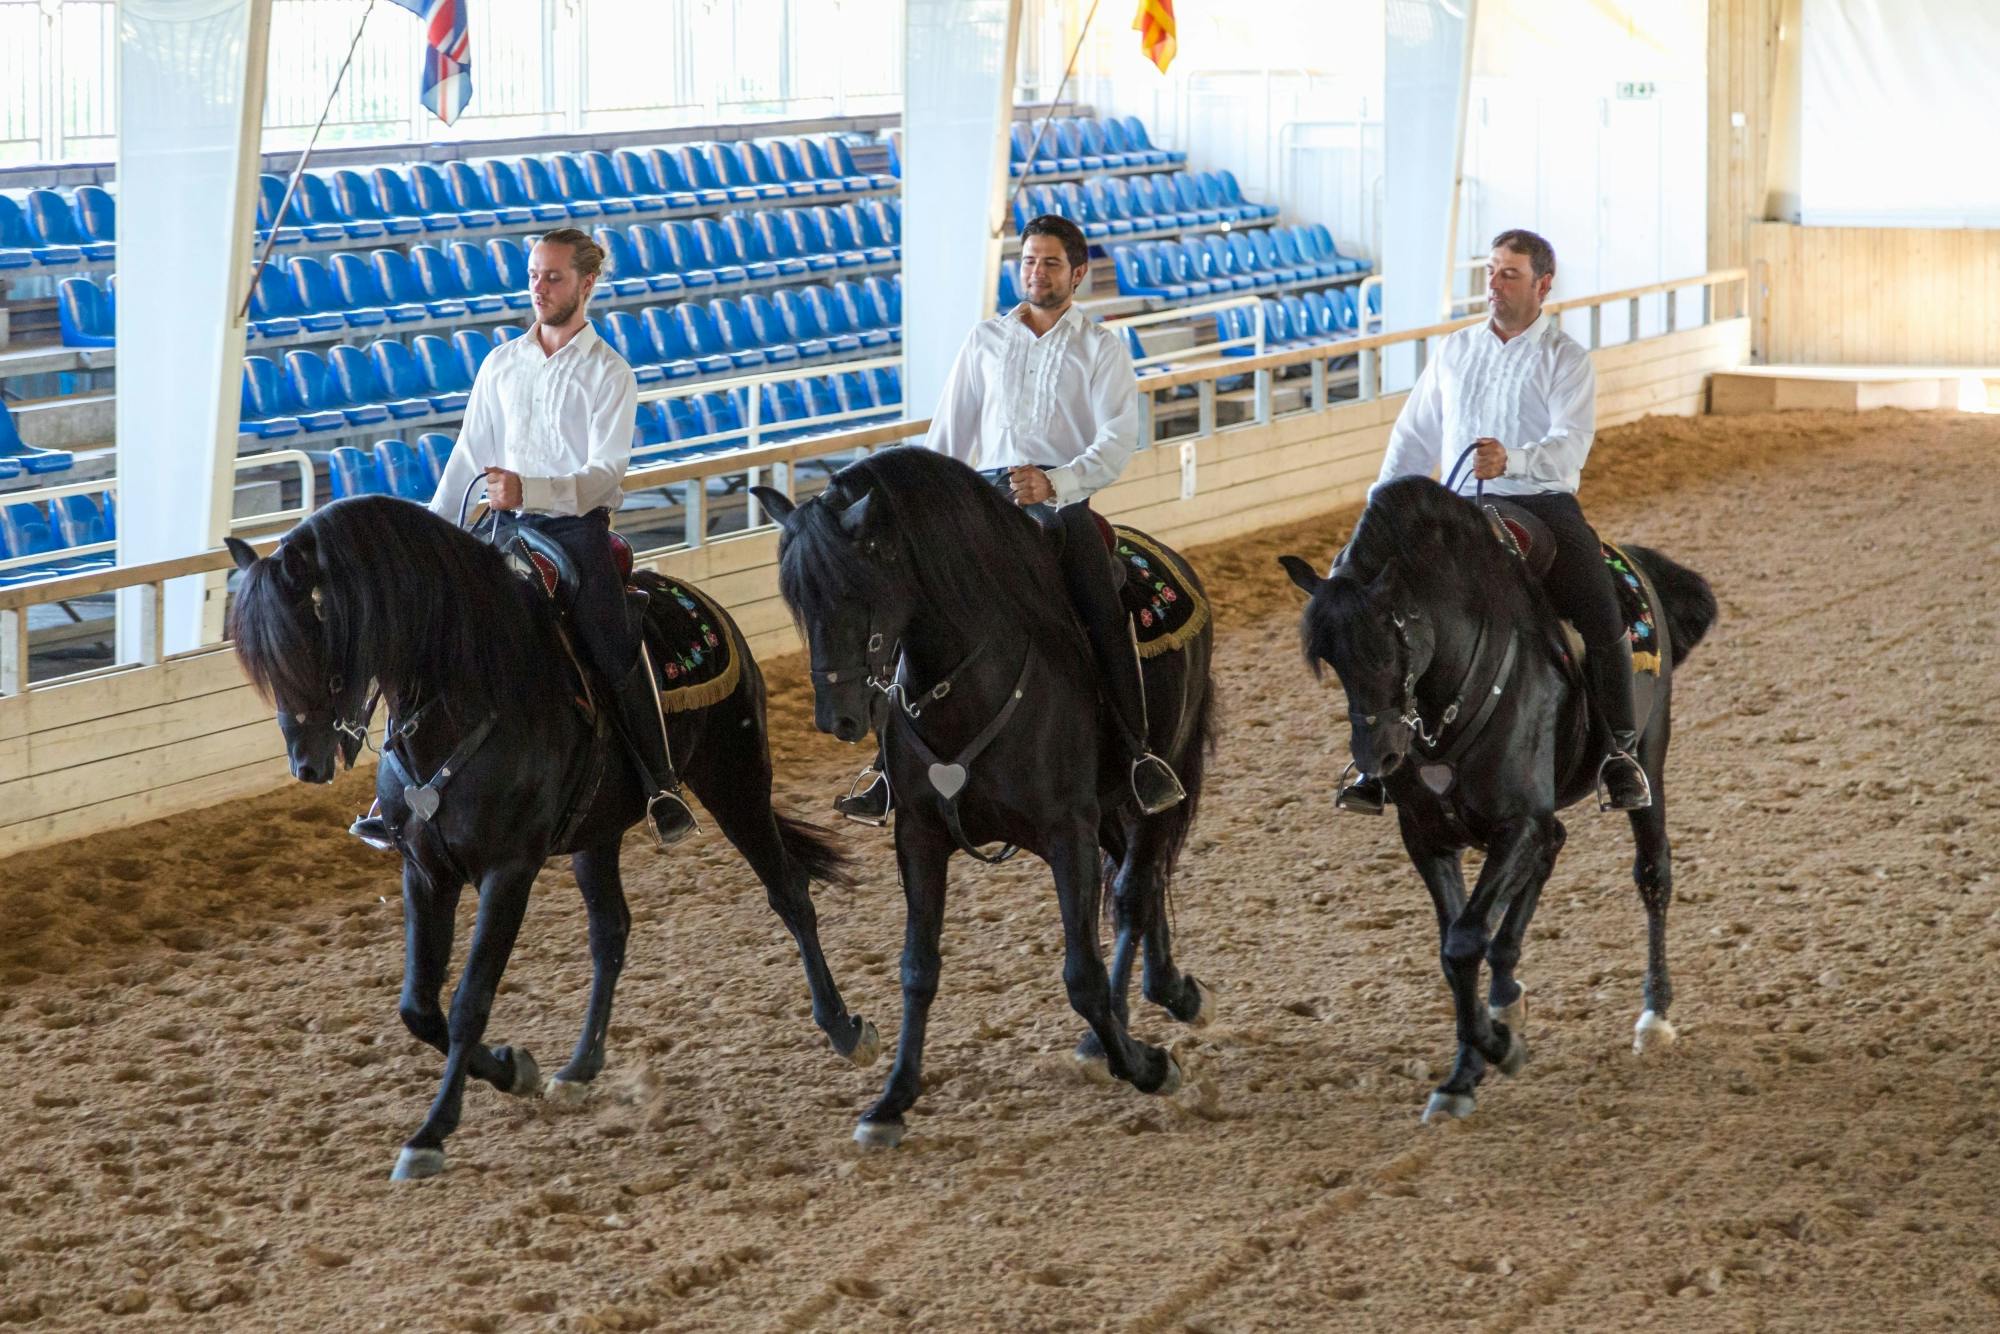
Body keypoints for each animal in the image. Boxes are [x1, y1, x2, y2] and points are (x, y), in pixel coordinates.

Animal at [229, 494, 876, 1176]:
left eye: (309, 633)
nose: (307, 763)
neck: (468, 694)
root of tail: (702, 603)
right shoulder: (425, 872)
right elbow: (418, 1006)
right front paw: (516, 1070)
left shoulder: (508, 871)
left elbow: (469, 1000)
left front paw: (432, 1132)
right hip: (598, 833)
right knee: (610, 933)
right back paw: (579, 1067)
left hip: (736, 780)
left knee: (789, 893)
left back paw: (846, 1029)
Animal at [752, 448, 1208, 1152]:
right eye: (796, 598)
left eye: (855, 589)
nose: (837, 718)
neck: (970, 683)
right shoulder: (919, 834)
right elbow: (917, 968)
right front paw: (891, 1101)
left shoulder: (1066, 832)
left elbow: (1080, 975)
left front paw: (1148, 1067)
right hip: (1111, 812)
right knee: (1140, 882)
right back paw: (1165, 991)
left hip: (1164, 777)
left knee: (1136, 888)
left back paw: (1131, 1024)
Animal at [1288, 480, 1712, 1128]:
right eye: (1331, 659)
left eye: (1390, 643)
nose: (1377, 757)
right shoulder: (1429, 836)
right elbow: (1453, 948)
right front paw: (1470, 1066)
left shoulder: (1517, 823)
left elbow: (1466, 941)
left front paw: (1492, 1051)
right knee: (1551, 853)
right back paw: (1508, 996)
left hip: (1650, 759)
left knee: (1652, 873)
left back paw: (1655, 1016)